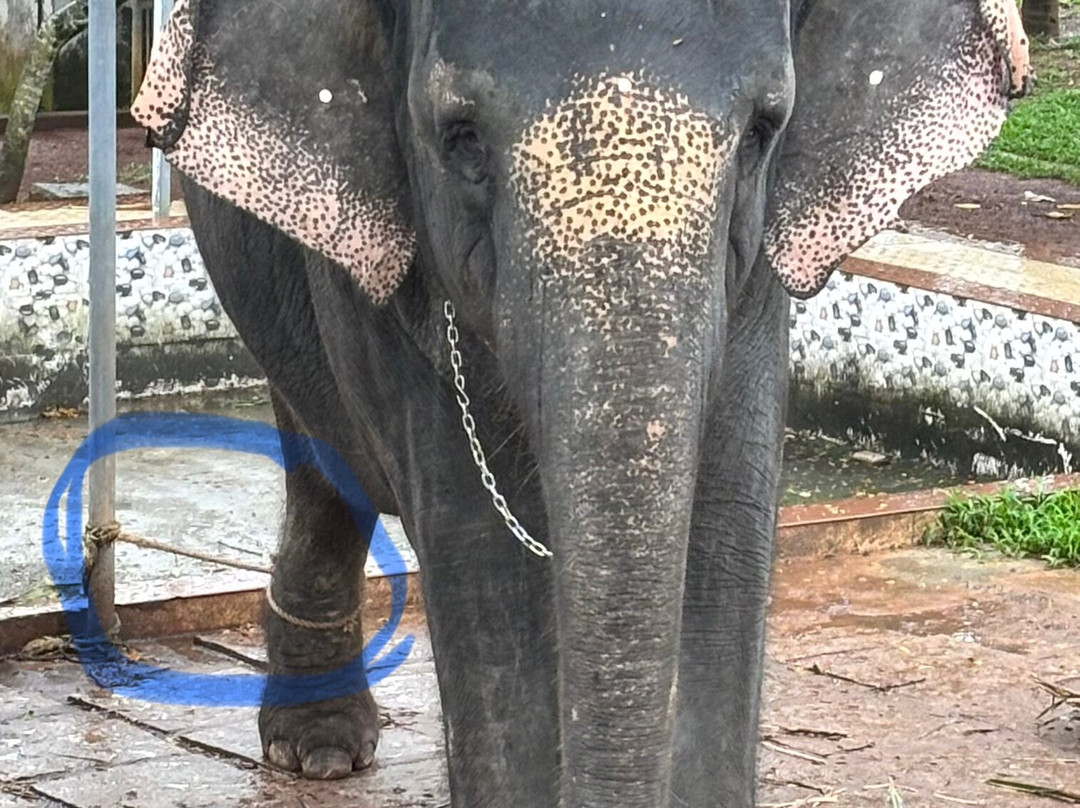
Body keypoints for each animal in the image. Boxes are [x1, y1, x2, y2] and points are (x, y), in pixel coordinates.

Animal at [131, 1, 1029, 805]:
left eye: (764, 129)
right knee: (326, 463)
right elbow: (483, 560)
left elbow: (725, 529)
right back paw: (316, 752)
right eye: (460, 134)